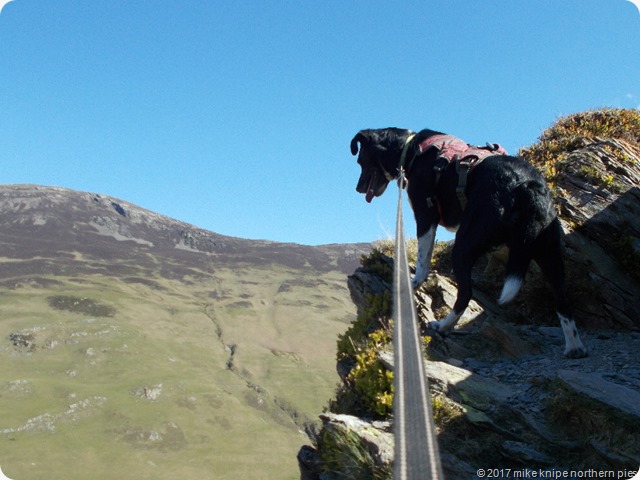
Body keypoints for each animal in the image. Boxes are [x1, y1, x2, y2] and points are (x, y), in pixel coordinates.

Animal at [352, 128, 588, 360]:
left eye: (361, 160)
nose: (358, 188)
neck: (410, 148)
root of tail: (526, 187)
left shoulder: (426, 214)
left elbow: (423, 260)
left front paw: (414, 282)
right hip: (549, 253)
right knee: (563, 299)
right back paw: (574, 347)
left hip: (463, 246)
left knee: (465, 294)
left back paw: (443, 326)